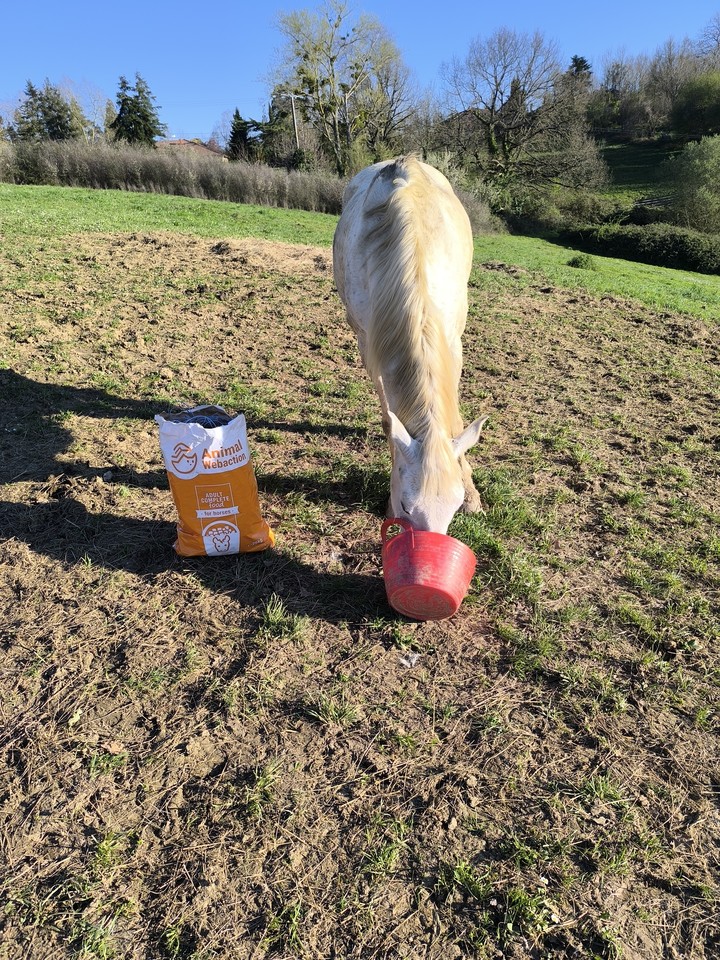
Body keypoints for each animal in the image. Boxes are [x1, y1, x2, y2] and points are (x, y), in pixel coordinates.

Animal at [333, 155, 487, 535]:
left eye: (454, 506)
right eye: (405, 505)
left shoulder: (453, 343)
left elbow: (455, 423)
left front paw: (472, 494)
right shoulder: (370, 346)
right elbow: (390, 419)